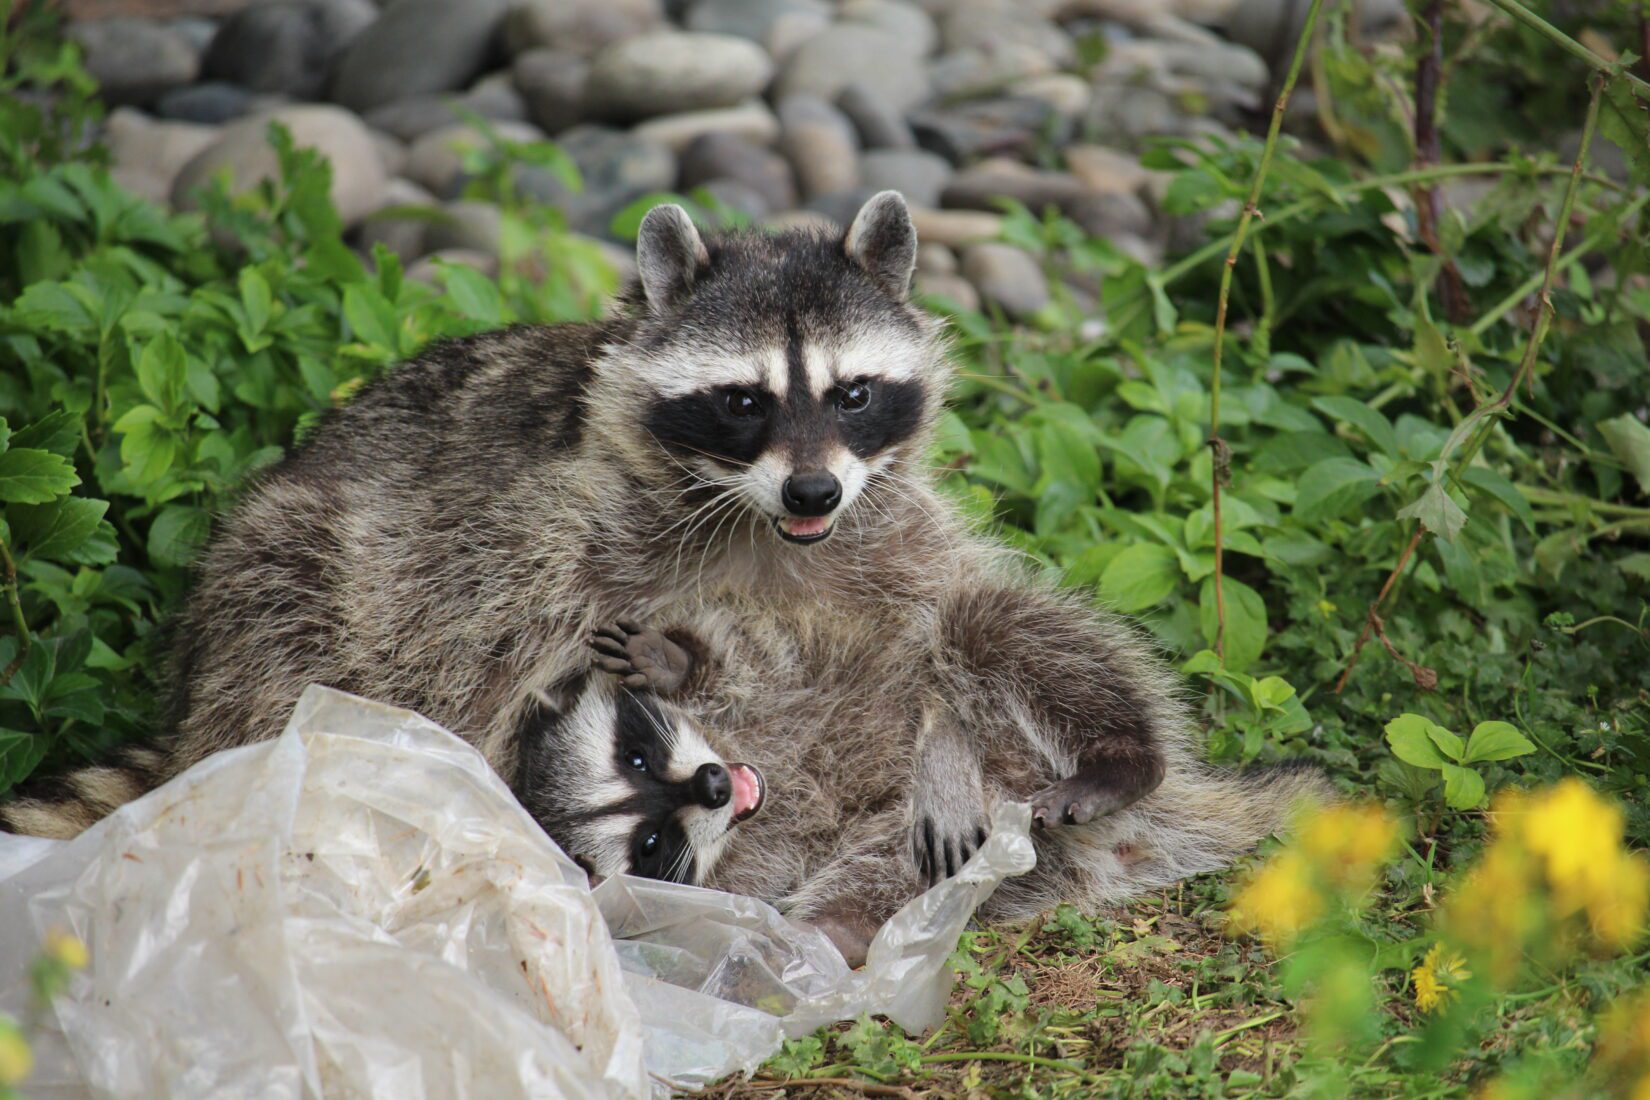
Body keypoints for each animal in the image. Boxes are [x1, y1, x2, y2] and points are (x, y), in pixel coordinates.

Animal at [0, 195, 1326, 910]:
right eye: (744, 401)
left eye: (852, 392)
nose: (811, 484)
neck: (770, 526)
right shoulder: (545, 534)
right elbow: (503, 666)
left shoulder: (889, 526)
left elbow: (940, 624)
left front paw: (943, 739)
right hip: (294, 564)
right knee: (308, 613)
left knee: (998, 629)